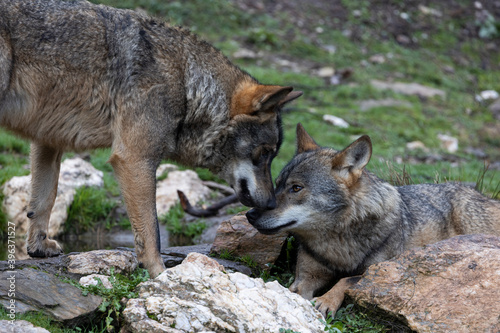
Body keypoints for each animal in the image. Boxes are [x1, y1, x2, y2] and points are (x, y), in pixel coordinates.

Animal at [0, 0, 300, 278]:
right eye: (264, 153)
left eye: (272, 155)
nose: (271, 204)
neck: (186, 83)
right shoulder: (134, 159)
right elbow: (151, 229)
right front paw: (159, 273)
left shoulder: (47, 140)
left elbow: (43, 200)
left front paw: (38, 248)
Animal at [246, 123, 500, 316]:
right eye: (278, 184)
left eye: (296, 188)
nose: (250, 214)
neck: (337, 245)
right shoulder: (306, 276)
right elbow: (294, 291)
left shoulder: (377, 271)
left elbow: (346, 281)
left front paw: (326, 301)